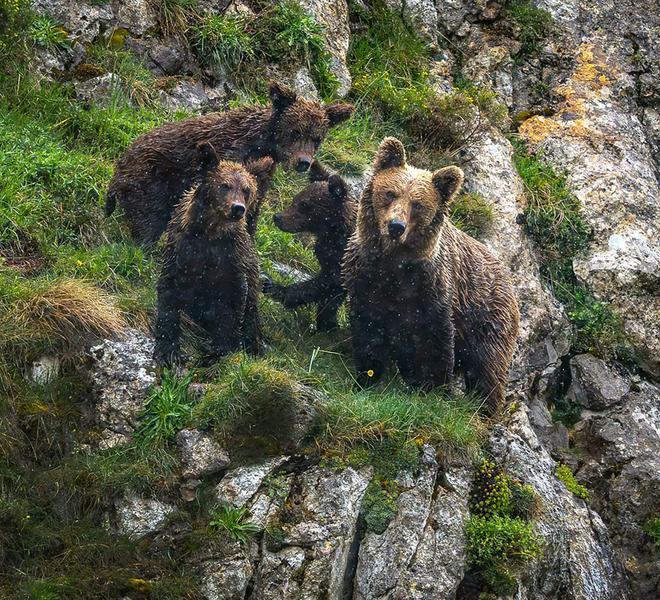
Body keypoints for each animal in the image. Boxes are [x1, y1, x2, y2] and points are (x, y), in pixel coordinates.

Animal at [107, 81, 354, 245]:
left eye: (317, 138)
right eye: (295, 131)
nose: (303, 162)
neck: (263, 144)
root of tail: (121, 163)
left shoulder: (261, 174)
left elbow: (253, 205)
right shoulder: (230, 155)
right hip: (151, 177)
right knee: (149, 215)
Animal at [153, 142, 275, 368]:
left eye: (246, 190)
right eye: (224, 185)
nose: (238, 208)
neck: (210, 233)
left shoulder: (232, 261)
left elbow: (232, 306)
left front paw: (218, 352)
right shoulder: (182, 250)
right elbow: (169, 294)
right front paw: (168, 351)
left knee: (251, 318)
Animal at [265, 160, 357, 331]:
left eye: (304, 204)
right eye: (295, 199)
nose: (278, 217)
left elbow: (324, 284)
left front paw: (274, 287)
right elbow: (331, 294)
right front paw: (327, 324)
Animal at [342, 137, 519, 414]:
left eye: (418, 204)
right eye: (390, 193)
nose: (395, 226)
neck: (393, 267)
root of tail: (508, 277)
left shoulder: (432, 292)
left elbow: (435, 343)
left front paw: (433, 390)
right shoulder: (365, 281)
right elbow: (368, 331)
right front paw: (367, 377)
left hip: (488, 319)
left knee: (487, 367)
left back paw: (484, 408)